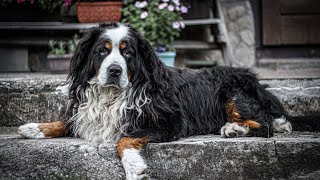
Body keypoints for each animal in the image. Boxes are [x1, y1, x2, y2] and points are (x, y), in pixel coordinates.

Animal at [17, 23, 318, 179]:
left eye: (127, 53)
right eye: (102, 51)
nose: (114, 71)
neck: (112, 96)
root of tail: (258, 84)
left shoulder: (168, 121)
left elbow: (124, 139)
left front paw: (134, 167)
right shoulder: (87, 113)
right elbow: (68, 121)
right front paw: (35, 128)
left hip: (232, 92)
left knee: (265, 123)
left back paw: (235, 128)